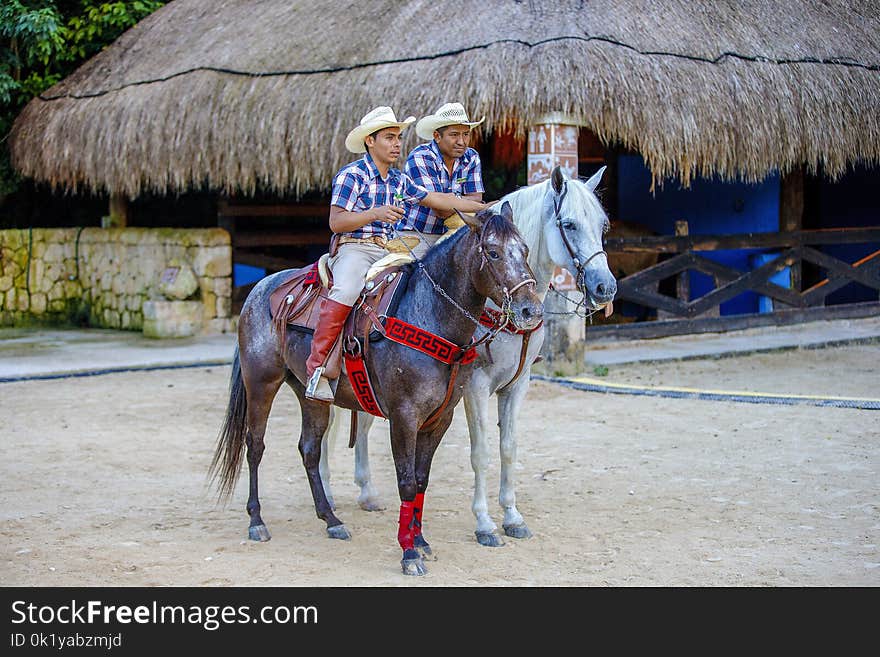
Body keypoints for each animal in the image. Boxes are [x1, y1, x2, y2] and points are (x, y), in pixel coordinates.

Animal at [320, 164, 616, 544]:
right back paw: (329, 497)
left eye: (603, 225)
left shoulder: (518, 384)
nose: (604, 286)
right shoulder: (475, 386)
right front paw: (485, 523)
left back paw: (368, 493)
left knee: (365, 420)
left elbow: (509, 448)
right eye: (569, 224)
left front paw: (513, 517)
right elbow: (482, 453)